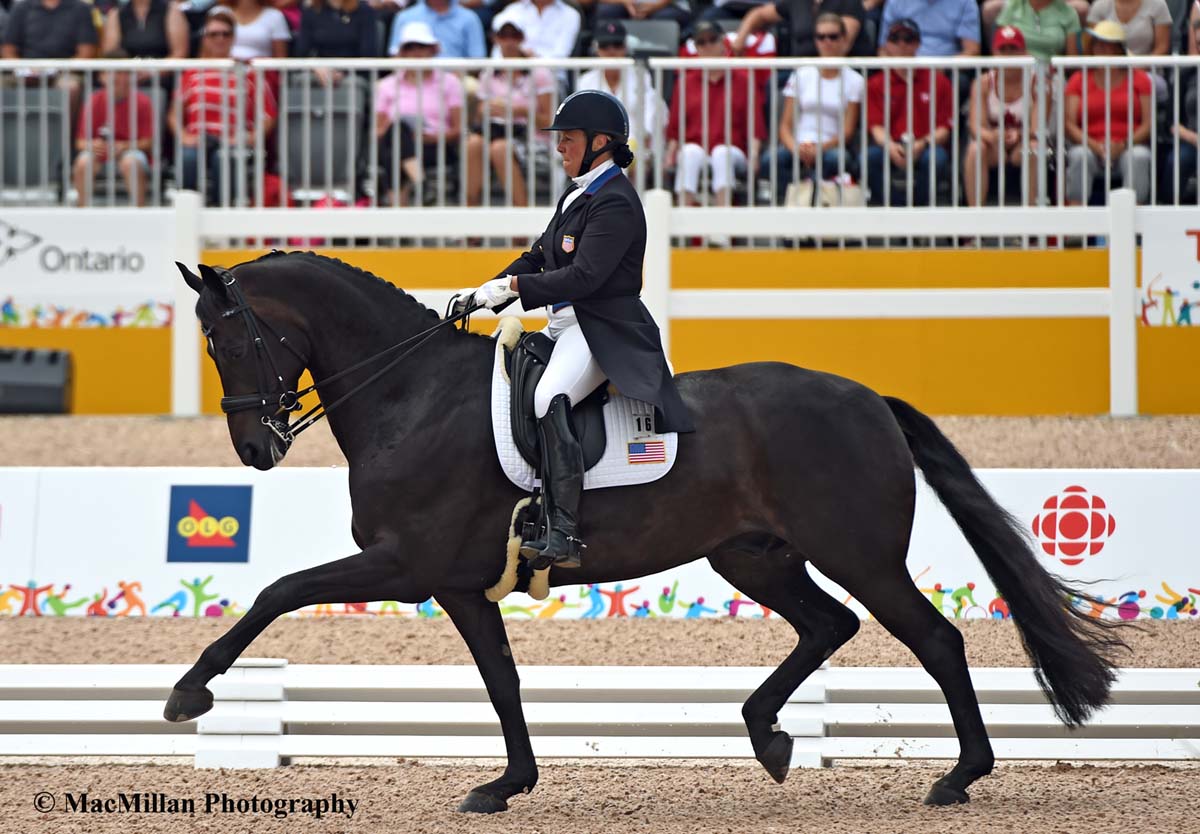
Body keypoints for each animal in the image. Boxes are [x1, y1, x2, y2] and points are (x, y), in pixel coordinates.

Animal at [166, 250, 1123, 811]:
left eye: (231, 339)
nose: (255, 449)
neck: (413, 395)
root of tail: (867, 399)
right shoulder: (458, 585)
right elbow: (502, 682)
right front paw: (508, 784)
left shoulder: (404, 565)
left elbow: (278, 589)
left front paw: (188, 694)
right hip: (753, 557)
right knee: (829, 625)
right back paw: (769, 736)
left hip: (858, 554)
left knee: (934, 639)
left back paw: (959, 777)